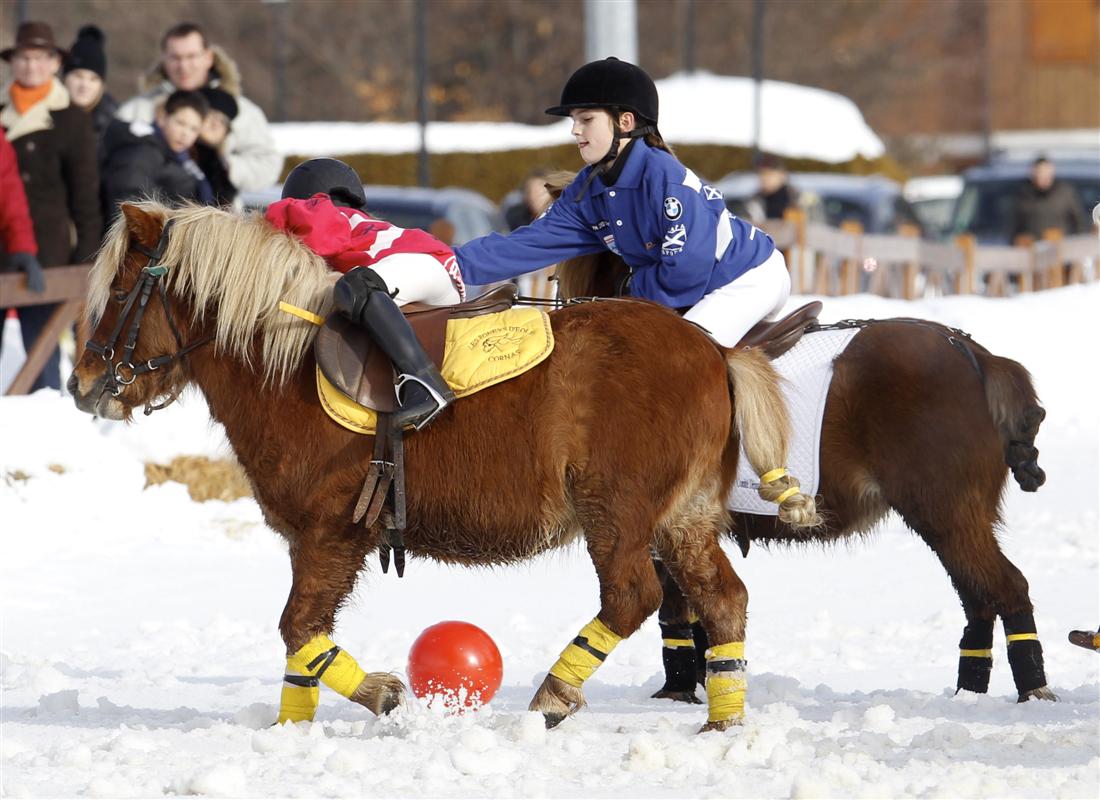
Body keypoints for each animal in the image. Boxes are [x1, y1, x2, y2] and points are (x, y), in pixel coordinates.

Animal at [68, 201, 822, 733]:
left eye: (120, 294)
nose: (82, 385)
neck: (287, 364)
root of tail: (714, 348)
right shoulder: (315, 539)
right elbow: (302, 638)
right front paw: (293, 727)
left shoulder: (332, 530)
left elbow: (299, 629)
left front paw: (382, 694)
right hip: (682, 516)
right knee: (722, 600)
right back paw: (723, 721)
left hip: (617, 510)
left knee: (632, 595)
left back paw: (555, 694)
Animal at [554, 248, 1056, 705]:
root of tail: (975, 354)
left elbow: (676, 609)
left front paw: (678, 692)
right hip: (951, 518)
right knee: (980, 597)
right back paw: (969, 692)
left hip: (947, 511)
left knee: (1007, 589)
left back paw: (1032, 691)